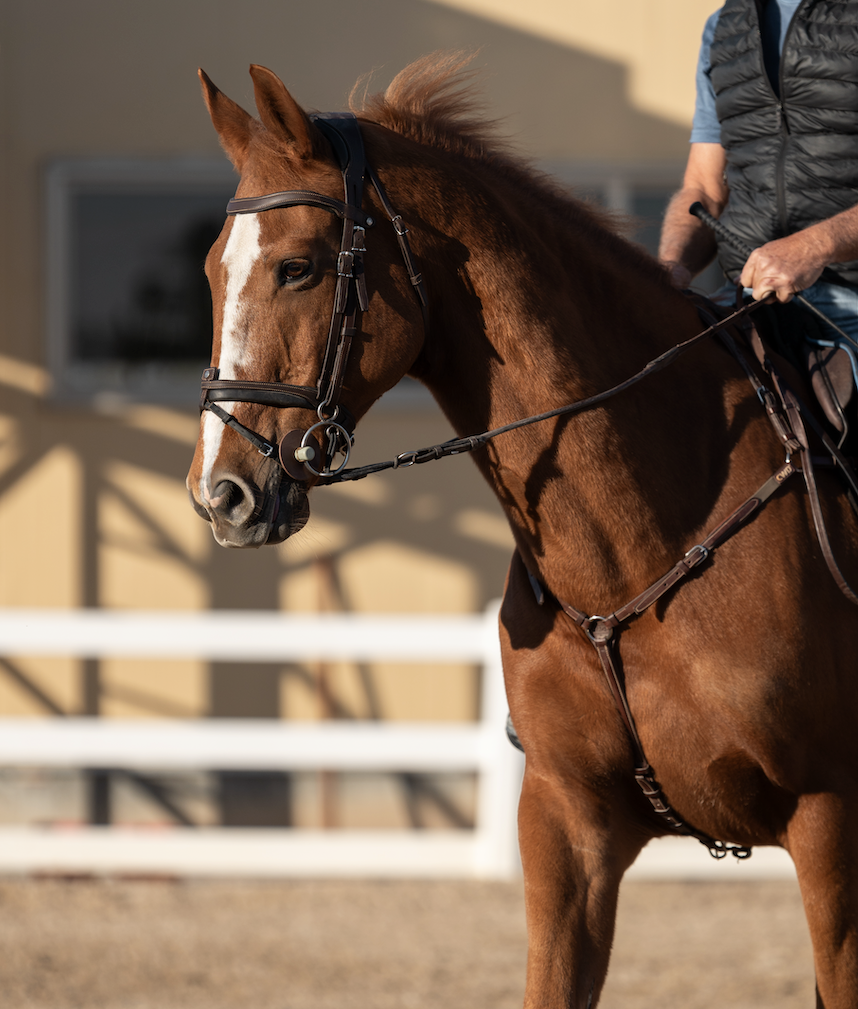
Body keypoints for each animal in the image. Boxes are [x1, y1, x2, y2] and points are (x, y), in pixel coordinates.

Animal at [187, 57, 855, 1008]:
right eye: (213, 271)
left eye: (297, 267)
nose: (222, 493)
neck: (647, 540)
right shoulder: (567, 824)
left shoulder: (831, 821)